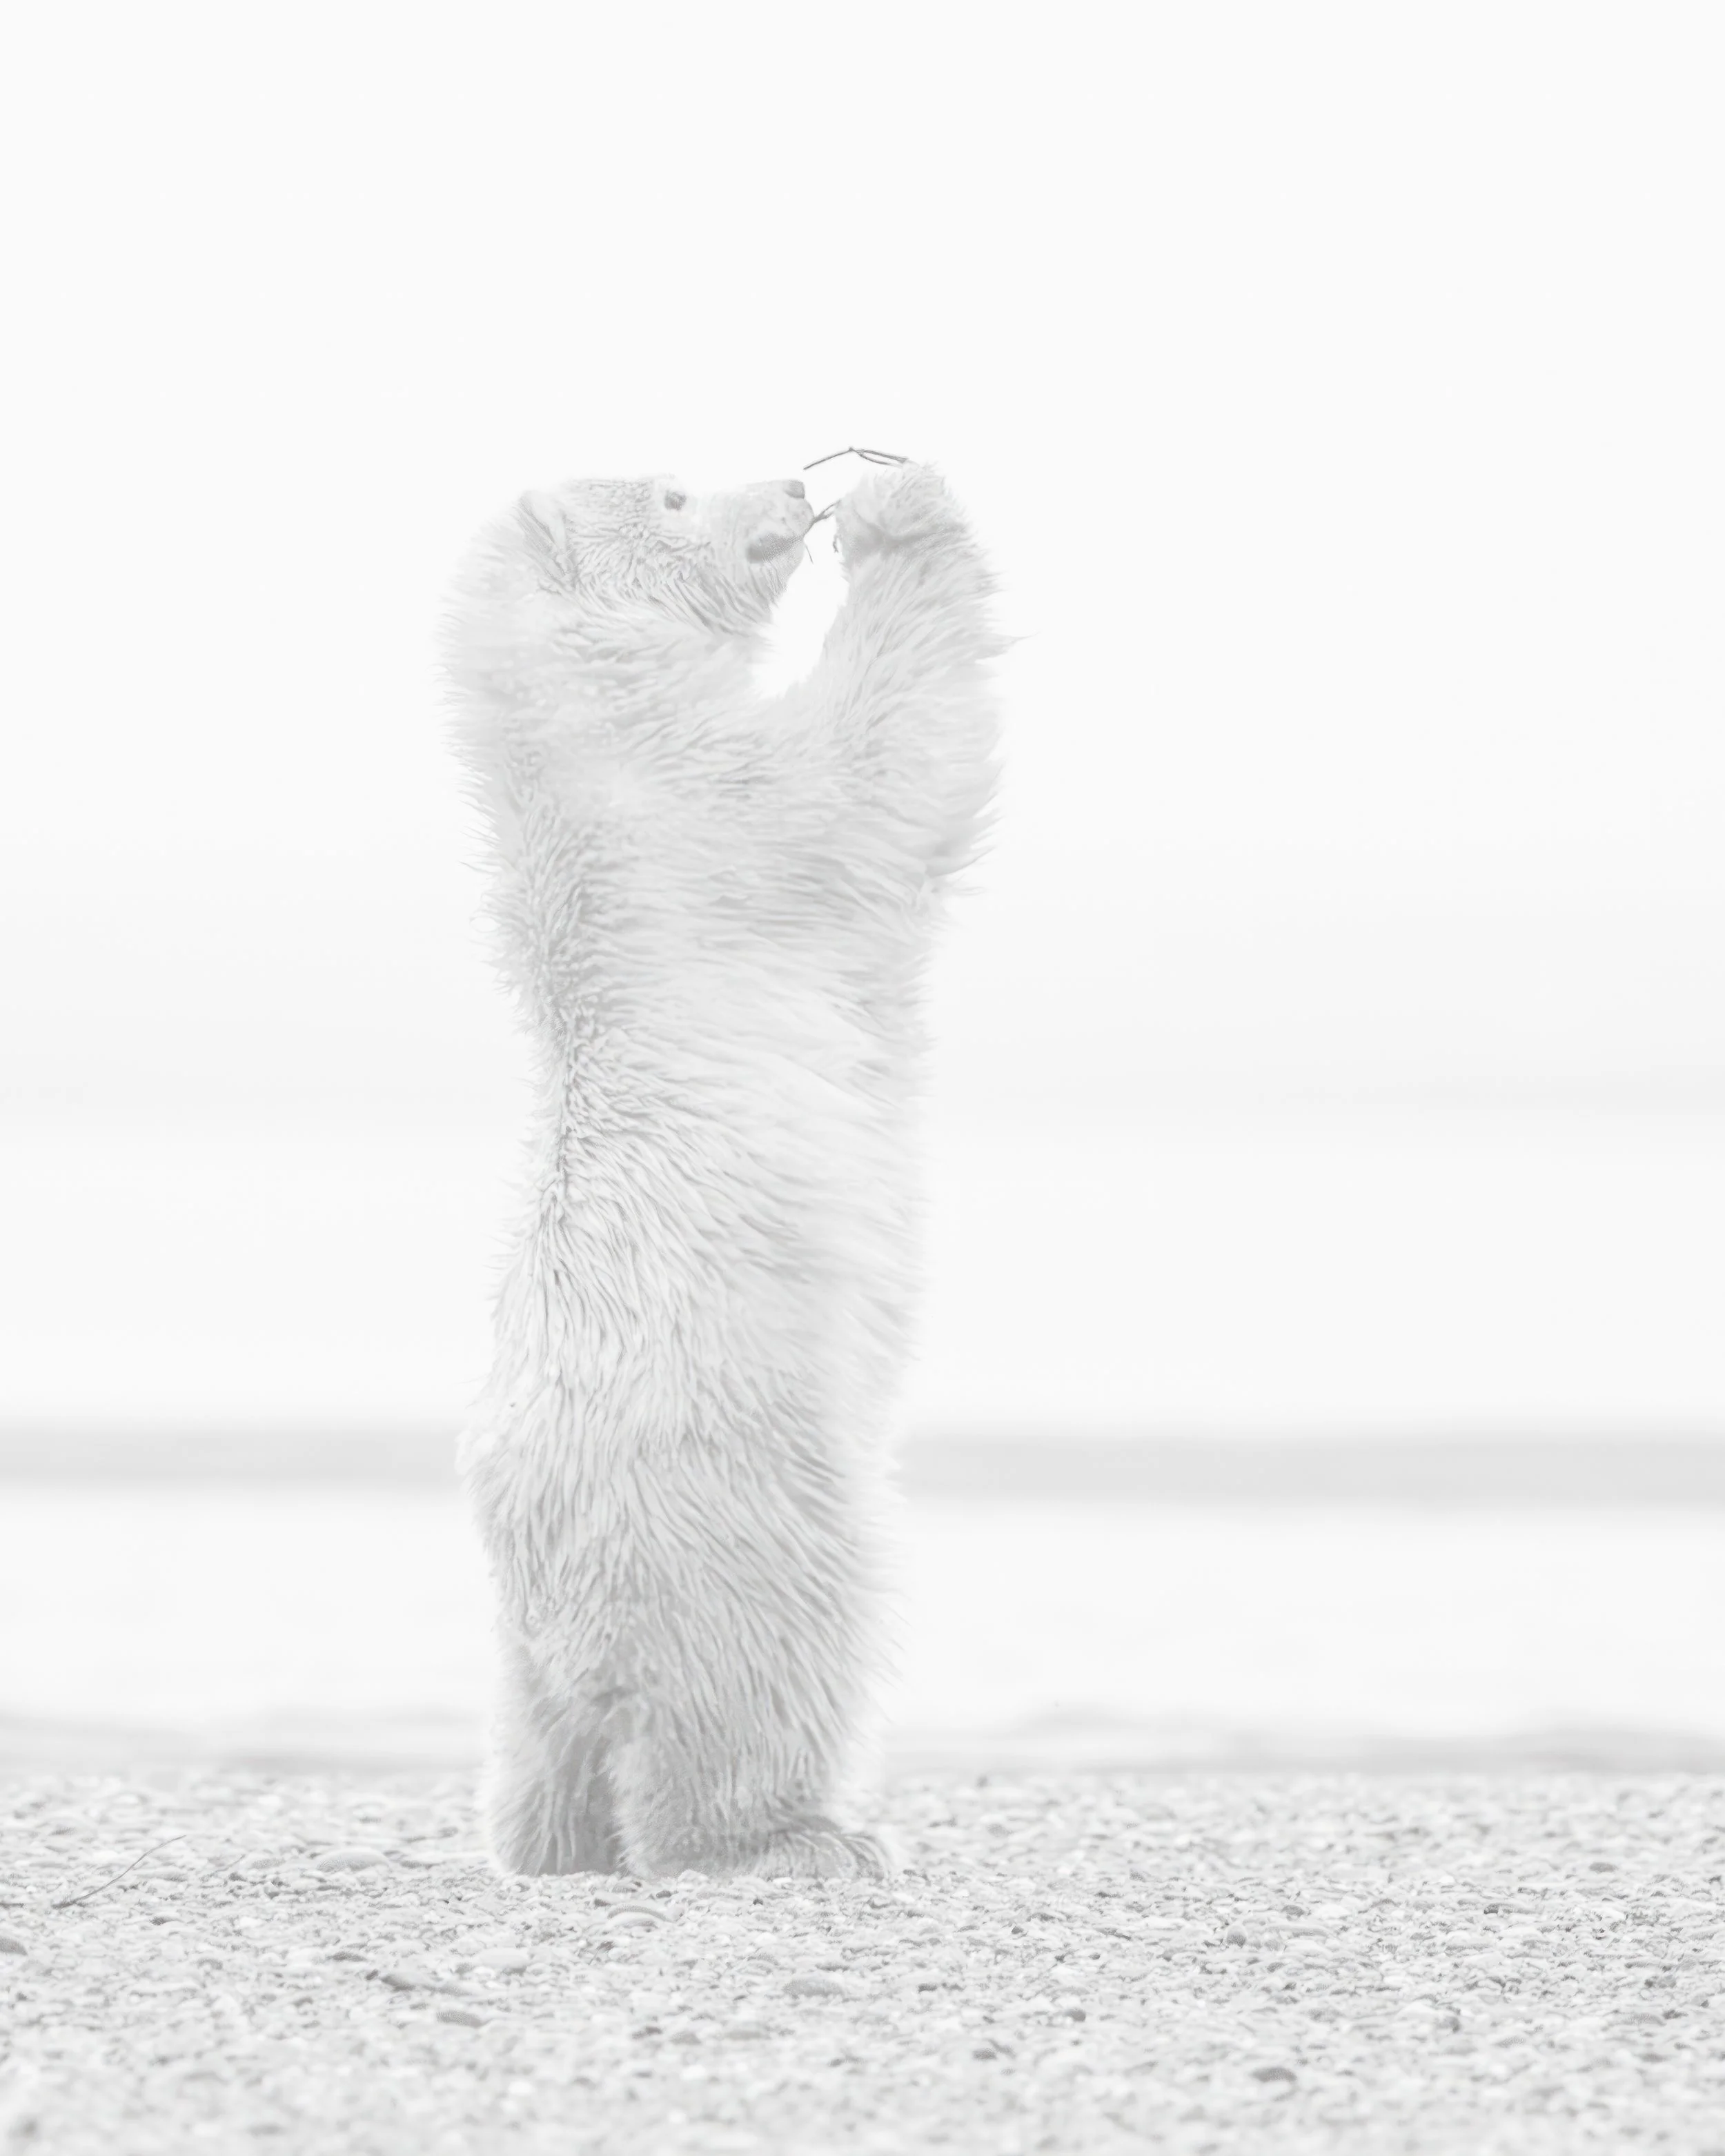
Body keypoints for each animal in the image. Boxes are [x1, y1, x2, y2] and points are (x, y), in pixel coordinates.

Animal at [441, 459, 1001, 1876]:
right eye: (672, 492)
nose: (798, 481)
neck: (593, 744)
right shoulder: (714, 815)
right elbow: (879, 769)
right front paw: (905, 516)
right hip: (735, 1488)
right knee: (777, 1645)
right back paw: (799, 1836)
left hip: (519, 1639)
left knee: (543, 1747)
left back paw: (556, 1843)